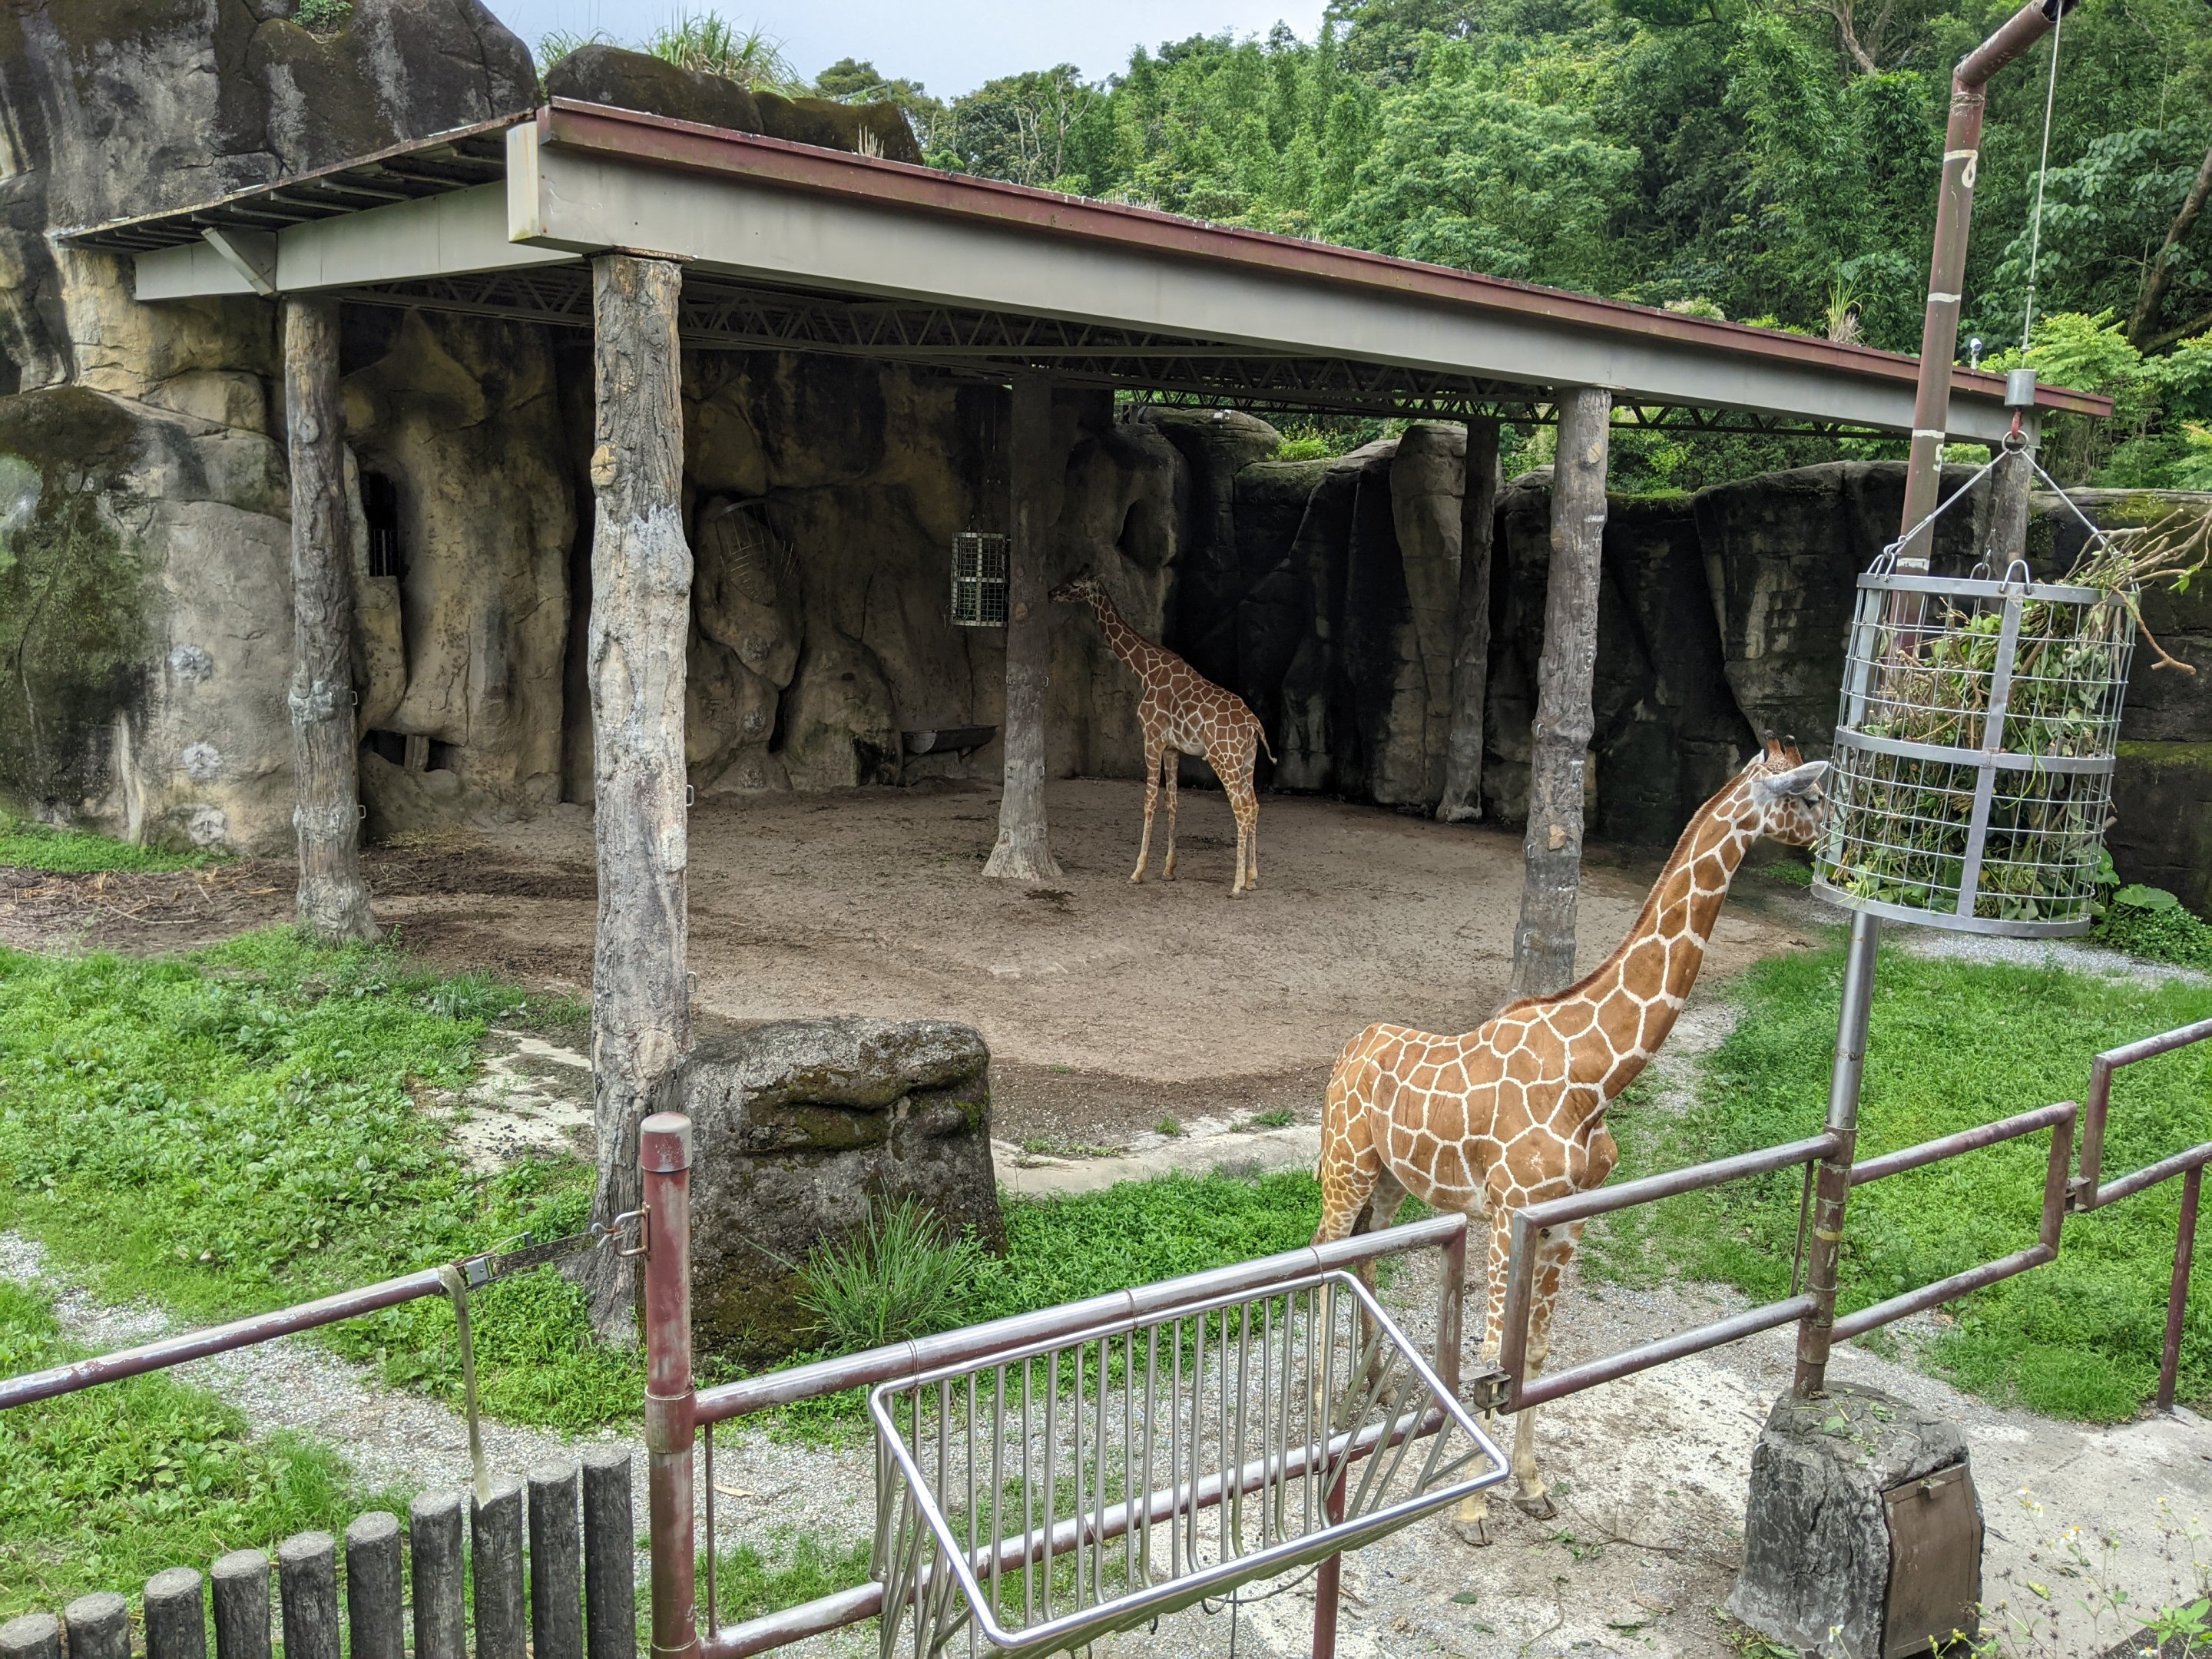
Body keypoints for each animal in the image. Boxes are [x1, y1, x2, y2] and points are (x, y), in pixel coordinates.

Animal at [1050, 574, 1276, 896]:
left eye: (1075, 585)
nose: (1051, 593)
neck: (1146, 670)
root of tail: (1254, 724)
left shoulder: (1152, 738)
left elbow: (1149, 802)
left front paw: (1137, 871)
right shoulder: (1172, 748)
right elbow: (1172, 801)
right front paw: (1169, 870)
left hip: (1224, 759)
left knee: (1242, 808)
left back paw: (1235, 885)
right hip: (1247, 760)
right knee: (1254, 805)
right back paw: (1252, 878)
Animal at [1312, 738, 1829, 1544]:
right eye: (1807, 796)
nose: (1833, 841)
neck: (1594, 1076)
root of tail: (1348, 1050)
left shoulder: (1567, 1220)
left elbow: (1537, 1354)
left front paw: (1531, 1487)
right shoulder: (1507, 1211)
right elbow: (1492, 1354)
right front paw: (1472, 1509)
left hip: (1390, 1180)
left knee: (1364, 1260)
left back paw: (1379, 1388)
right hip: (1344, 1164)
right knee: (1322, 1254)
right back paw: (1326, 1413)